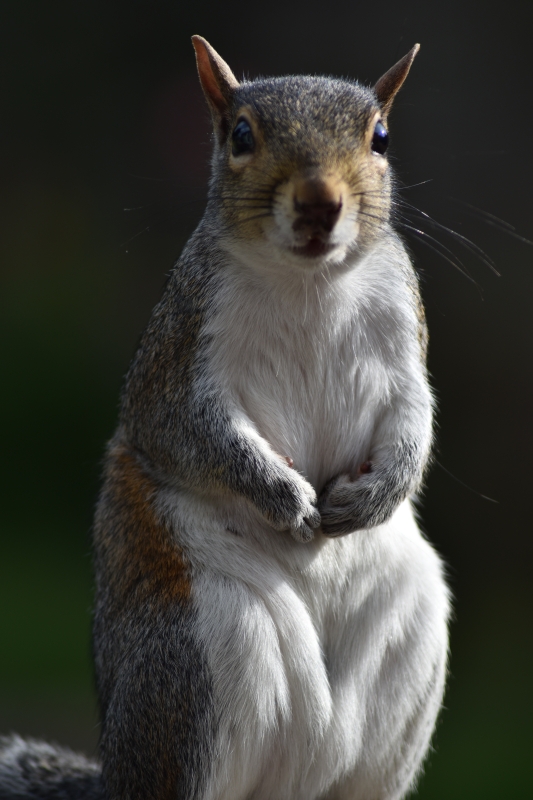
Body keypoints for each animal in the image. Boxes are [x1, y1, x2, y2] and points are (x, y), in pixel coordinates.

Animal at [0, 36, 448, 800]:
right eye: (240, 135)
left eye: (380, 137)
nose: (320, 202)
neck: (309, 280)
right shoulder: (182, 348)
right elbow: (187, 431)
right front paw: (281, 494)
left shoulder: (401, 336)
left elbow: (414, 418)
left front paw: (376, 493)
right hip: (199, 654)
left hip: (409, 654)